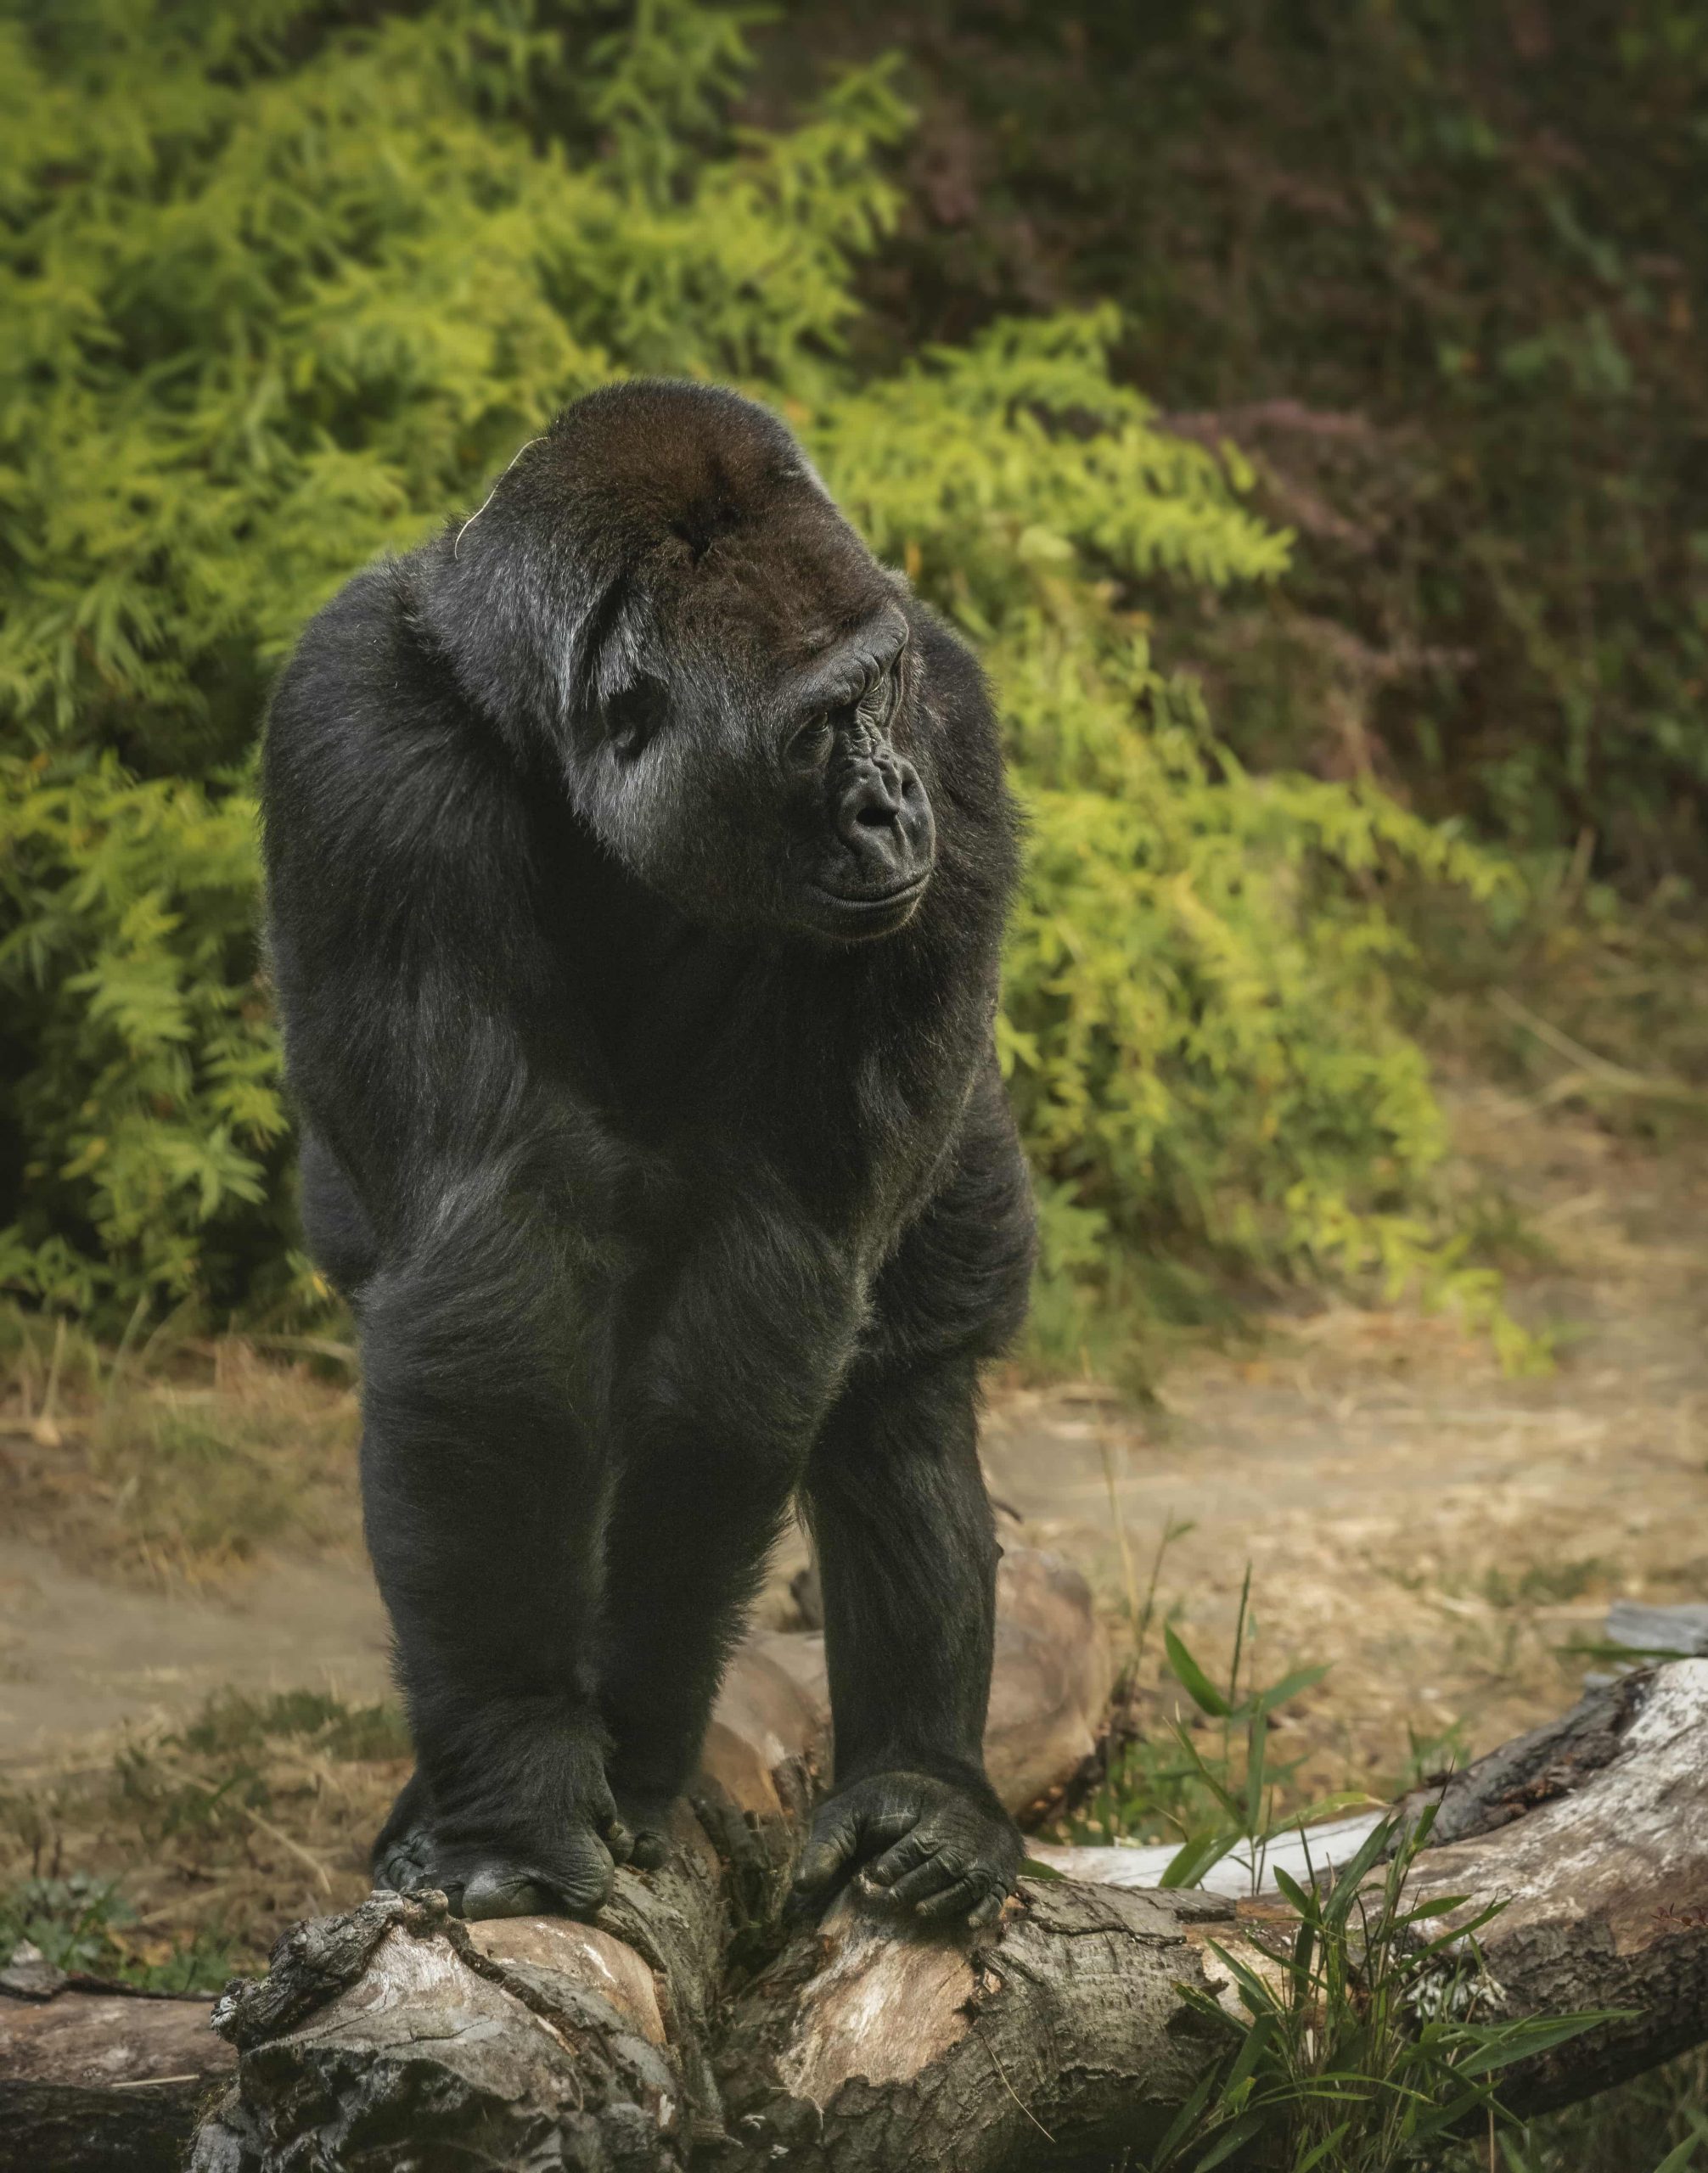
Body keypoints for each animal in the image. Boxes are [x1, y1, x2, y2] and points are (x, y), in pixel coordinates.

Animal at [264, 382, 1030, 1929]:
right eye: (821, 725)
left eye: (879, 694)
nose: (893, 802)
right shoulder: (352, 736)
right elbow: (494, 1261)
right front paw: (519, 1765)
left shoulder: (957, 719)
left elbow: (781, 1254)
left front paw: (635, 1730)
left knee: (896, 1391)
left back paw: (924, 1784)